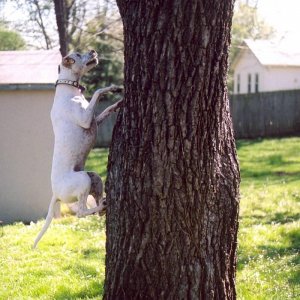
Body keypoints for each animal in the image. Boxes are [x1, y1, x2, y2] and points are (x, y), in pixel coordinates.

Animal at [33, 49, 122, 248]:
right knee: (81, 212)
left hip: (94, 177)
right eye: (79, 54)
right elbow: (97, 91)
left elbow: (105, 111)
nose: (94, 51)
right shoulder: (86, 119)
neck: (69, 89)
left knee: (95, 206)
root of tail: (55, 193)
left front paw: (117, 103)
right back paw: (101, 206)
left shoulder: (94, 121)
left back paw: (104, 204)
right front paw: (110, 88)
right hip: (82, 180)